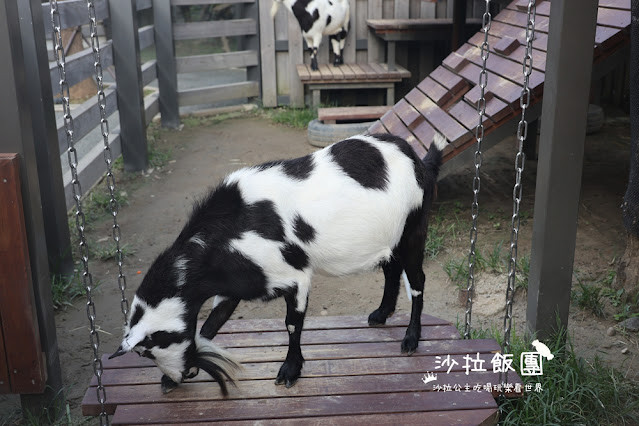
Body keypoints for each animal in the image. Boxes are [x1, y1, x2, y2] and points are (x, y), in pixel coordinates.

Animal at [110, 132, 448, 392]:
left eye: (151, 350)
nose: (181, 375)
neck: (230, 228)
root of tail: (419, 161)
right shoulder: (234, 285)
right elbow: (211, 324)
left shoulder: (295, 277)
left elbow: (291, 324)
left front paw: (290, 371)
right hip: (389, 239)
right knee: (391, 270)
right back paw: (381, 313)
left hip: (413, 232)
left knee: (417, 282)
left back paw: (410, 339)